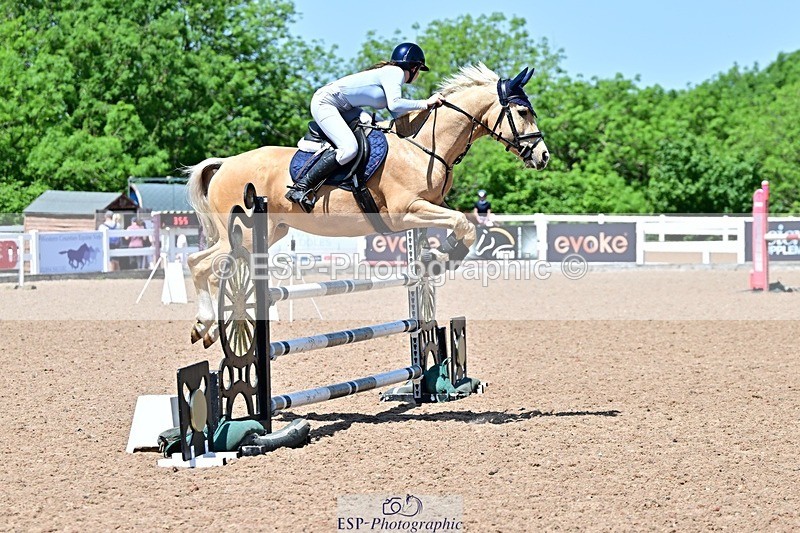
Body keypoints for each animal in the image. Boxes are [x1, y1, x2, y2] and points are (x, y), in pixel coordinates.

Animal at [186, 63, 549, 347]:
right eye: (523, 112)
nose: (543, 156)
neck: (424, 146)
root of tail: (225, 163)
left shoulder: (429, 207)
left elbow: (460, 223)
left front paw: (433, 258)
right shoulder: (406, 211)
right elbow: (464, 223)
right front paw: (446, 256)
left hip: (271, 230)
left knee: (200, 262)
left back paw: (204, 328)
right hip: (243, 235)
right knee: (204, 266)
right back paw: (206, 326)